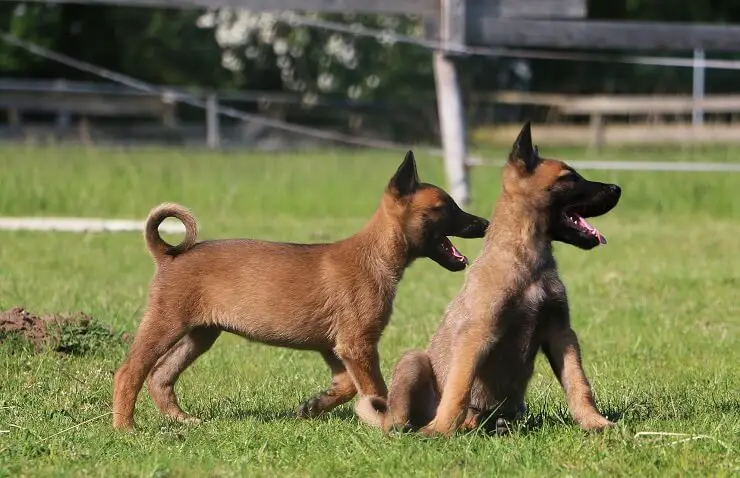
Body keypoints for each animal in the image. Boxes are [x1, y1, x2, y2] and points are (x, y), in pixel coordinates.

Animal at [111, 152, 492, 430]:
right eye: (446, 208)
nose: (486, 224)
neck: (375, 254)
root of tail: (170, 255)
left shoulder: (337, 348)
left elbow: (347, 386)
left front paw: (314, 405)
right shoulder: (357, 346)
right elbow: (376, 390)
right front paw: (386, 422)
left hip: (200, 334)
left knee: (160, 377)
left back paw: (182, 420)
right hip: (167, 322)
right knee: (130, 372)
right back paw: (125, 426)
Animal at [356, 121, 620, 436]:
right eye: (569, 178)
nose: (617, 188)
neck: (526, 260)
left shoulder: (561, 333)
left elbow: (578, 382)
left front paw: (594, 421)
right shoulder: (476, 336)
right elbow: (459, 389)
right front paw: (441, 430)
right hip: (413, 360)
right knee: (399, 419)